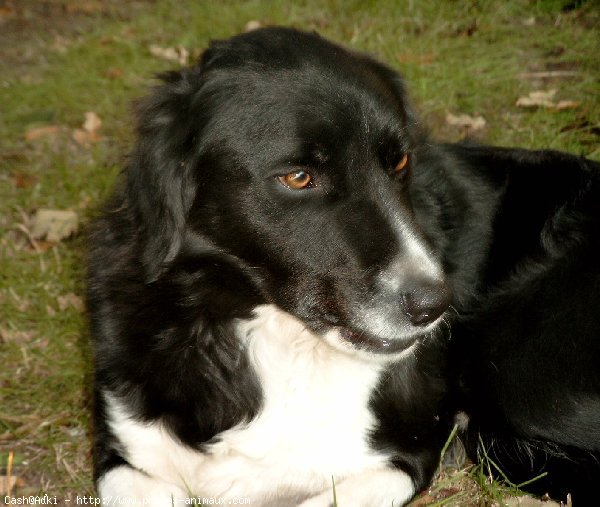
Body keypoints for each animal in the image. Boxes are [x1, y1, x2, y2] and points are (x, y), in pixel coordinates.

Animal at [89, 28, 600, 507]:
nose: (434, 305)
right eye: (298, 177)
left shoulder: (405, 456)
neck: (269, 335)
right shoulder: (124, 457)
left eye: (401, 161)